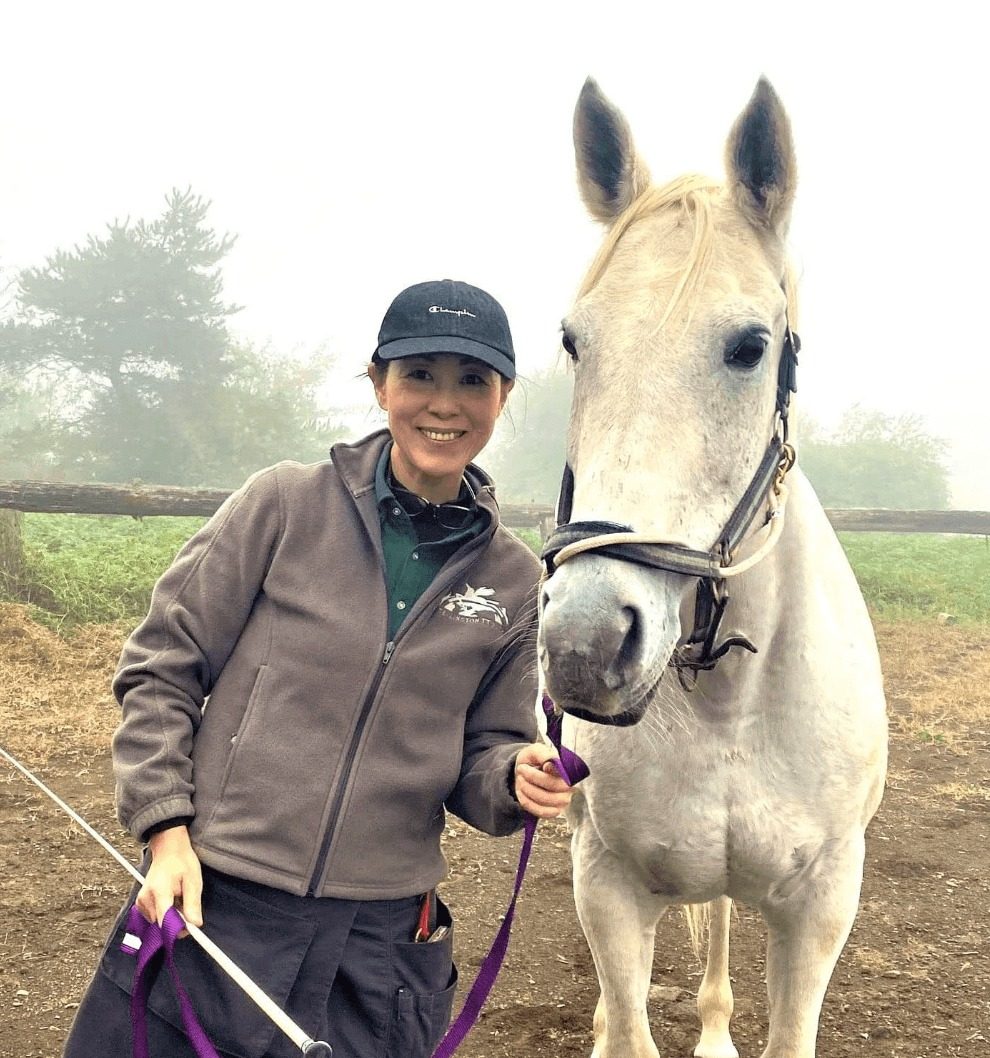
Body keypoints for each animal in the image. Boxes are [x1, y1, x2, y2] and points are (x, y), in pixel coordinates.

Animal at [537, 77, 888, 1058]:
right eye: (575, 341)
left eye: (748, 346)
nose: (585, 644)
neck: (733, 706)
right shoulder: (609, 889)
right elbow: (626, 1022)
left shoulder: (820, 909)